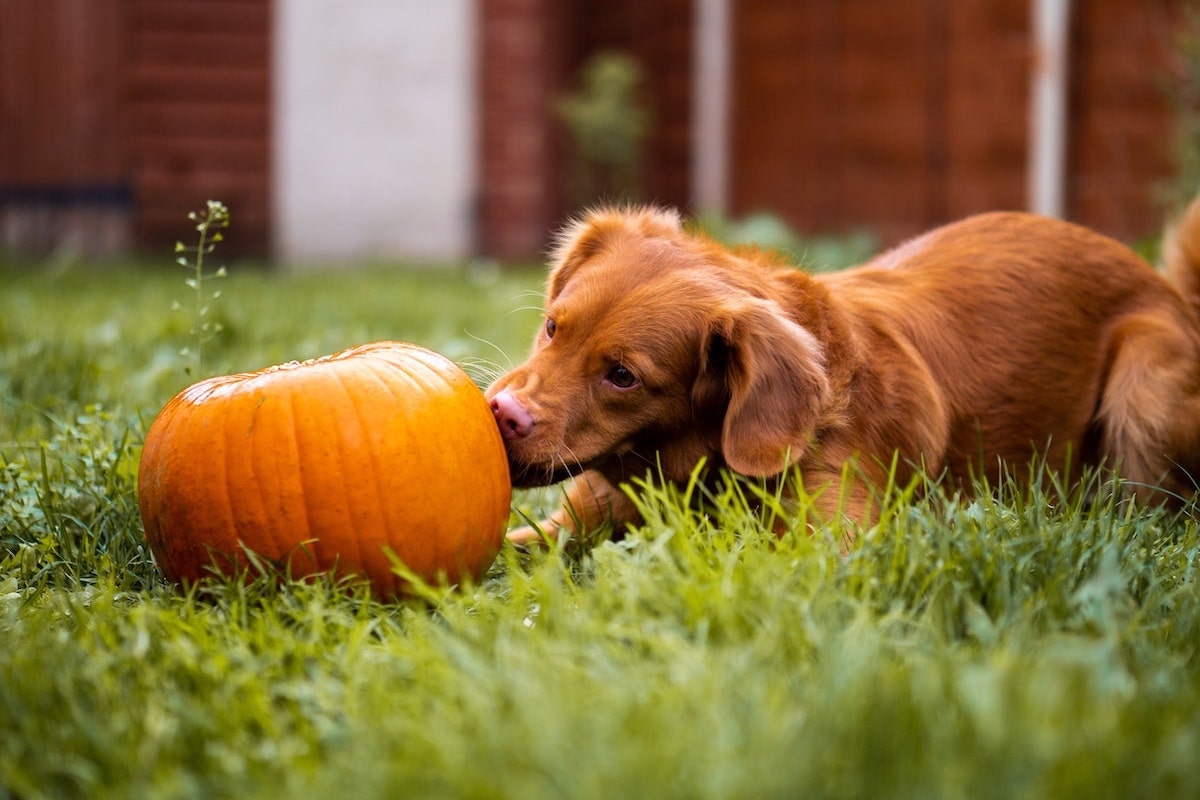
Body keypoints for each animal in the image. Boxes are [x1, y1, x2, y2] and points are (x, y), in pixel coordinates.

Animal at [482, 203, 1200, 546]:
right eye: (553, 328)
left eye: (623, 376)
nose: (503, 414)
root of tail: (1167, 288)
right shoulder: (569, 523)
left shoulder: (829, 545)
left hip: (1144, 383)